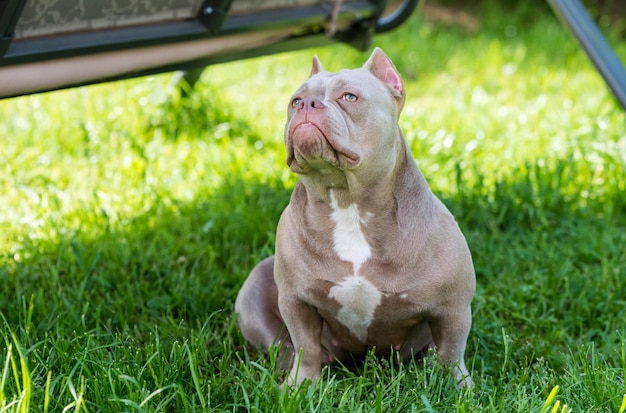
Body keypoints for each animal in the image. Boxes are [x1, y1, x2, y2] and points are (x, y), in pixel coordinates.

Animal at [234, 47, 472, 386]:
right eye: (295, 100)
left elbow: (452, 352)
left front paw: (457, 388)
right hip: (254, 290)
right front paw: (301, 386)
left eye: (349, 97)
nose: (307, 104)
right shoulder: (296, 301)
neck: (348, 202)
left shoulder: (453, 307)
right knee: (285, 348)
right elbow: (305, 344)